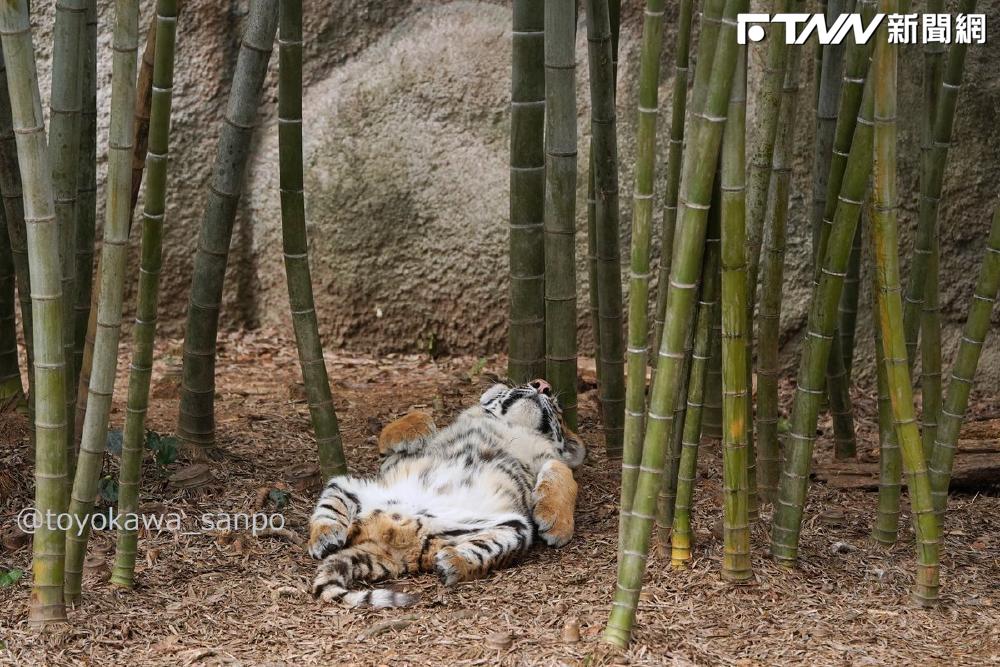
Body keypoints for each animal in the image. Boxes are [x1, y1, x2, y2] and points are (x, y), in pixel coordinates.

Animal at [307, 378, 585, 608]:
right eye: (526, 382)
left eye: (558, 409)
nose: (542, 384)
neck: (513, 426)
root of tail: (393, 546)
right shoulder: (391, 462)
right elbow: (412, 418)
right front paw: (418, 427)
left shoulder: (546, 462)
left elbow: (562, 470)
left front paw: (557, 525)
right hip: (347, 486)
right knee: (328, 511)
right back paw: (325, 538)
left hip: (514, 528)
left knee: (482, 550)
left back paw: (452, 562)